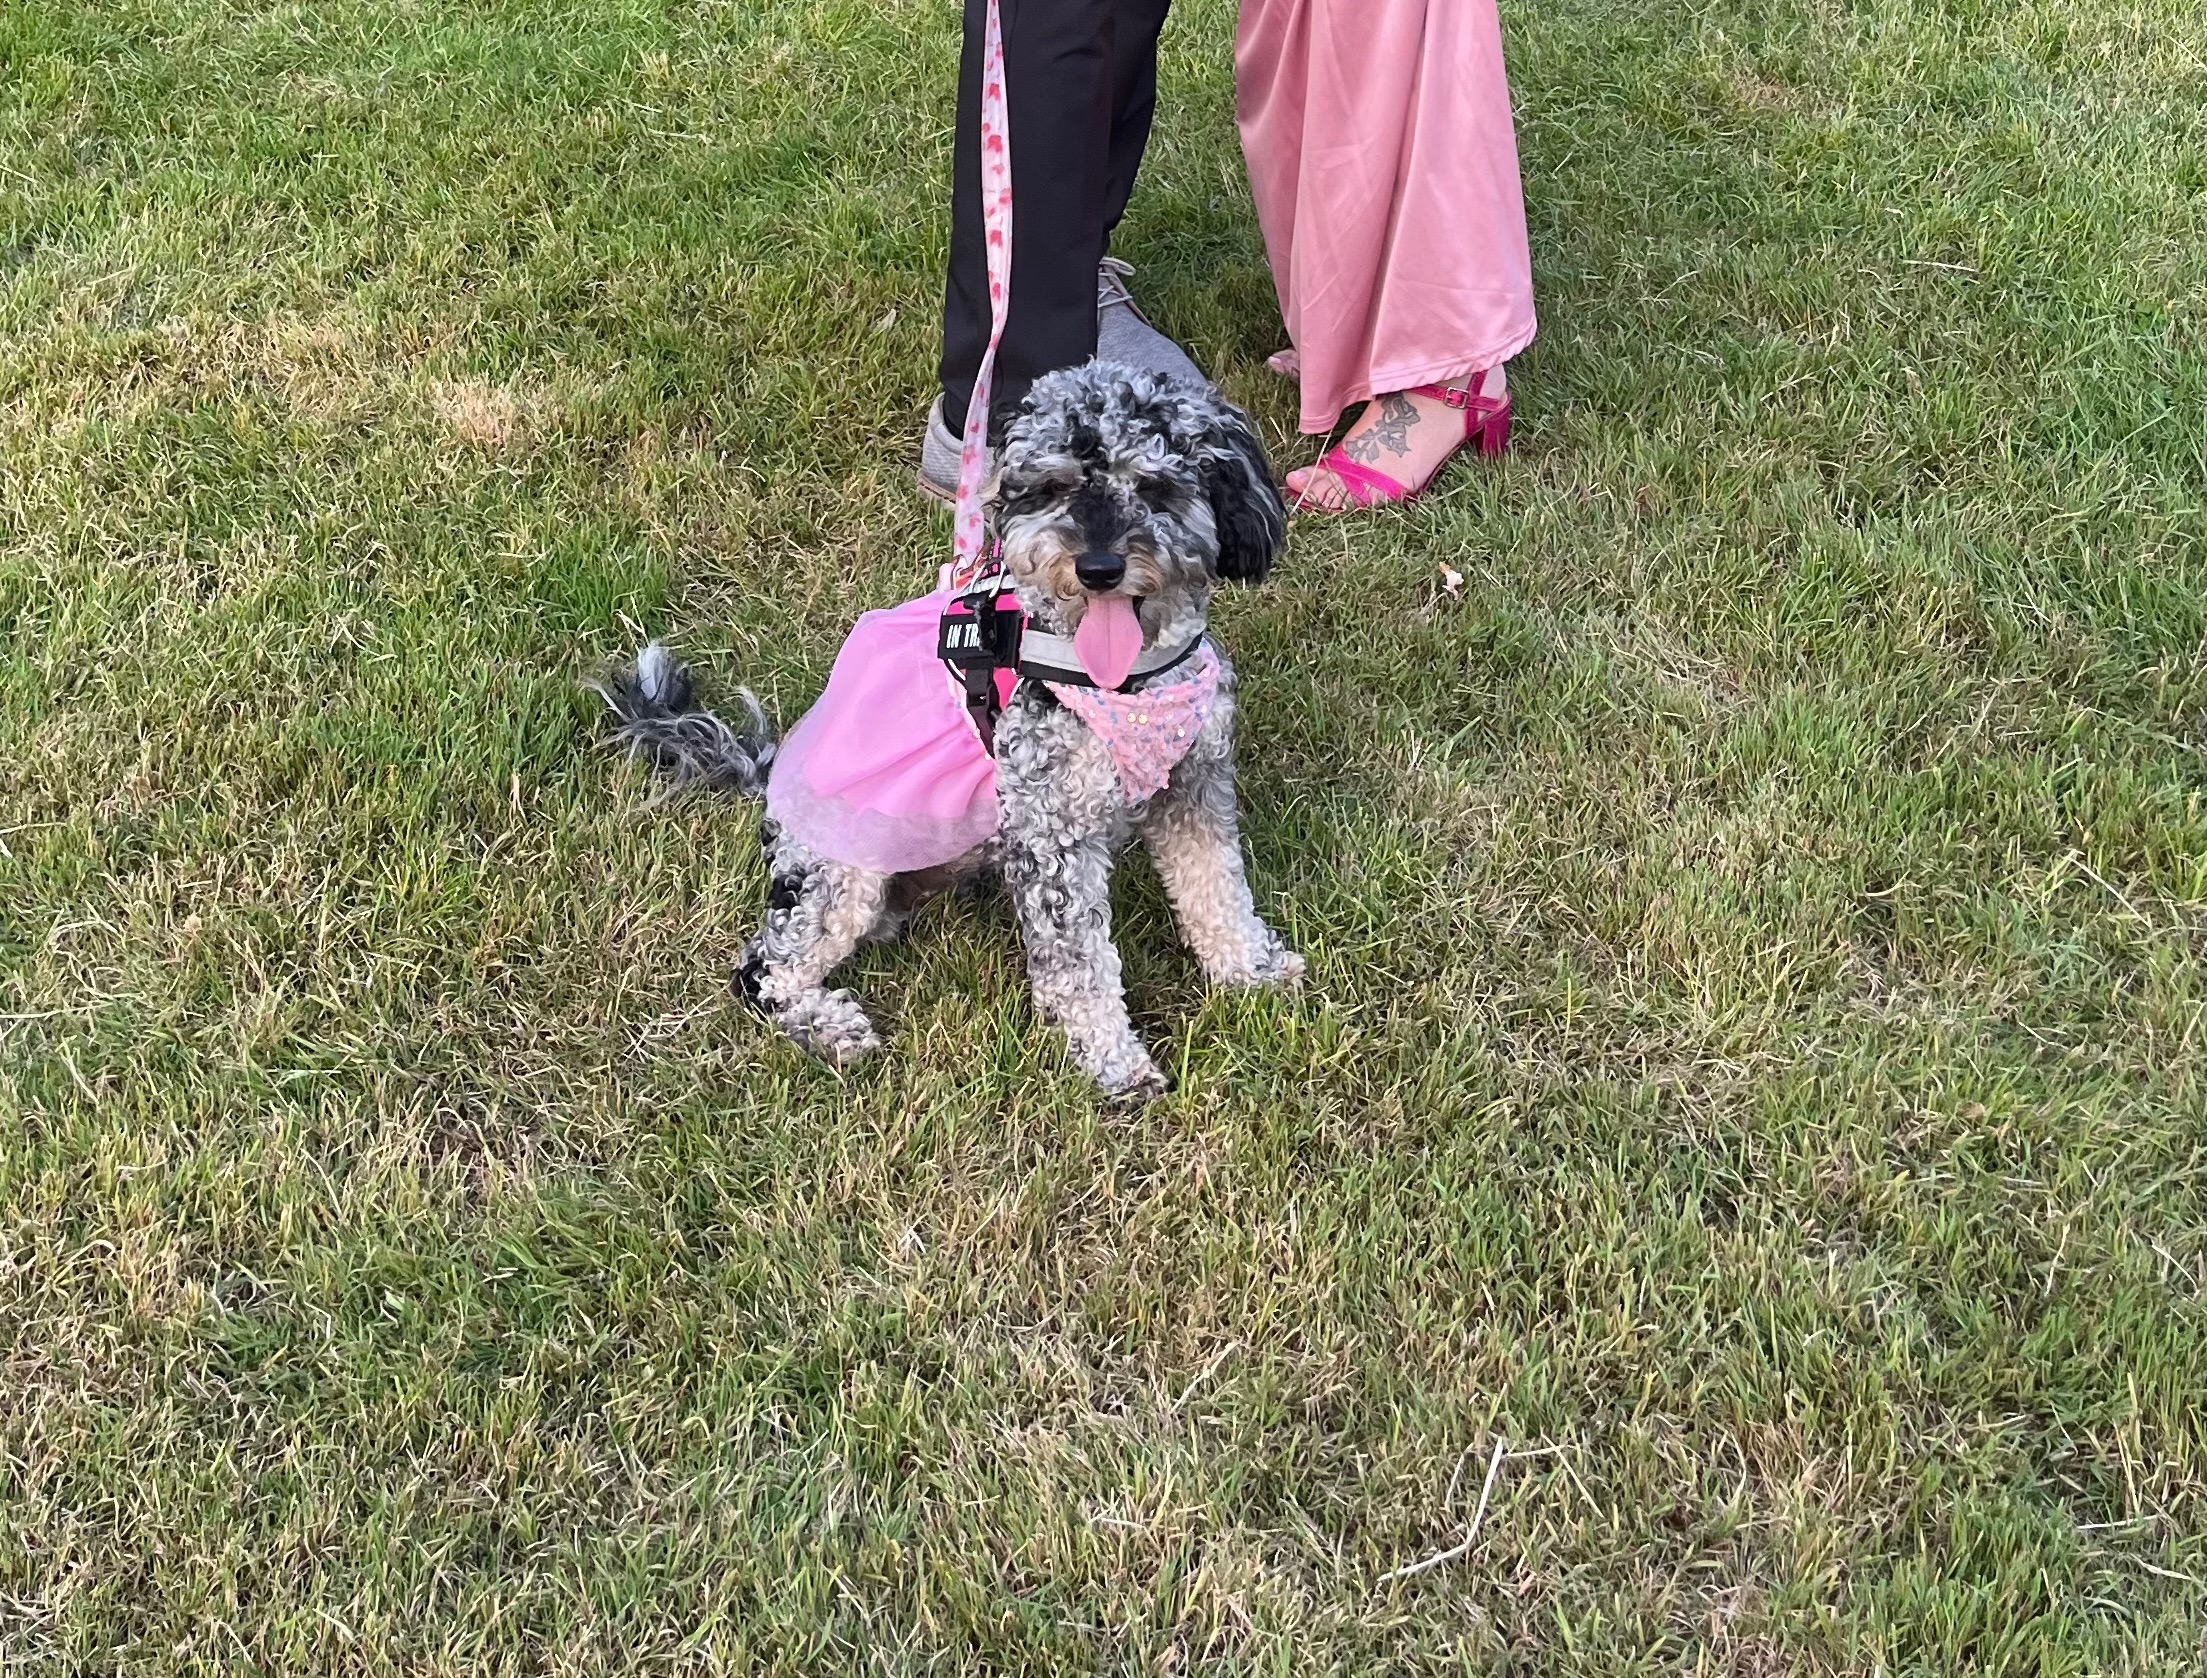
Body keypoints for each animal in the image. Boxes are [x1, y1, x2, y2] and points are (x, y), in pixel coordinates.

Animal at [595, 363, 1301, 1100]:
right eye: (1054, 487)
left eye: (1156, 486)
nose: (1098, 567)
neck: (1126, 682)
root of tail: (768, 783)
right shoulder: (1051, 836)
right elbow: (1079, 968)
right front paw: (1116, 1064)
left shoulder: (1195, 786)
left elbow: (1216, 886)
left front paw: (1250, 971)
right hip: (841, 873)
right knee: (763, 969)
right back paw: (830, 1027)